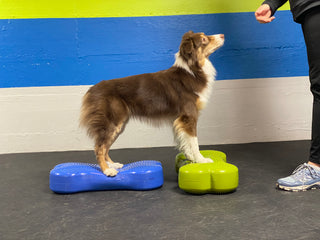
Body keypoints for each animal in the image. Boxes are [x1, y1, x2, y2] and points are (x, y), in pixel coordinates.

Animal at [80, 30, 225, 176]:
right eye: (204, 39)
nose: (223, 35)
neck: (192, 70)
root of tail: (92, 89)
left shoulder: (181, 119)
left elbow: (186, 140)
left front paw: (190, 158)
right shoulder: (189, 116)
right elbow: (194, 141)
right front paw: (201, 160)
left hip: (119, 124)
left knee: (105, 146)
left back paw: (113, 164)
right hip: (112, 122)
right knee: (99, 147)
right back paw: (107, 170)